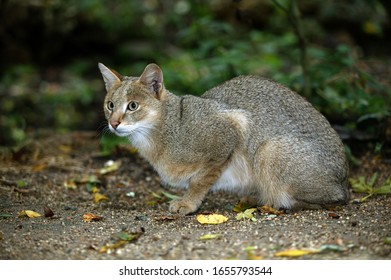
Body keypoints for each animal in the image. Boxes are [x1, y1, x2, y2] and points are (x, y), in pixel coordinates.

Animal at [98, 63, 350, 214]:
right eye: (110, 105)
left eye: (132, 106)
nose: (114, 123)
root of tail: (344, 179)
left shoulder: (232, 128)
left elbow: (200, 181)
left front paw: (188, 203)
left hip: (268, 150)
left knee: (335, 199)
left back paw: (273, 202)